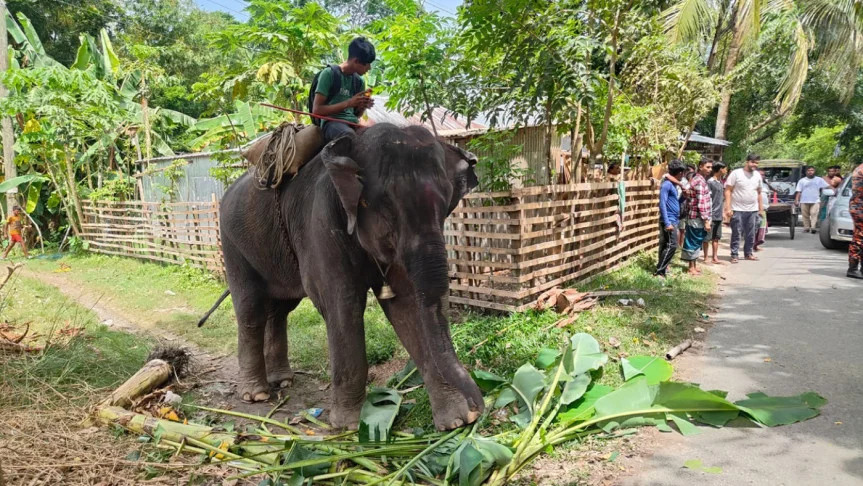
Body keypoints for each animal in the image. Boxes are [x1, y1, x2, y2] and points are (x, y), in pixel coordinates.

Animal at [216, 123, 486, 430]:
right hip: (233, 244)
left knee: (281, 309)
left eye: (445, 205)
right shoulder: (320, 223)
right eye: (385, 205)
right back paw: (256, 395)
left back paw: (282, 381)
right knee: (251, 308)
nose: (478, 409)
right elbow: (342, 304)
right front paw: (348, 426)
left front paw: (455, 421)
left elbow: (406, 304)